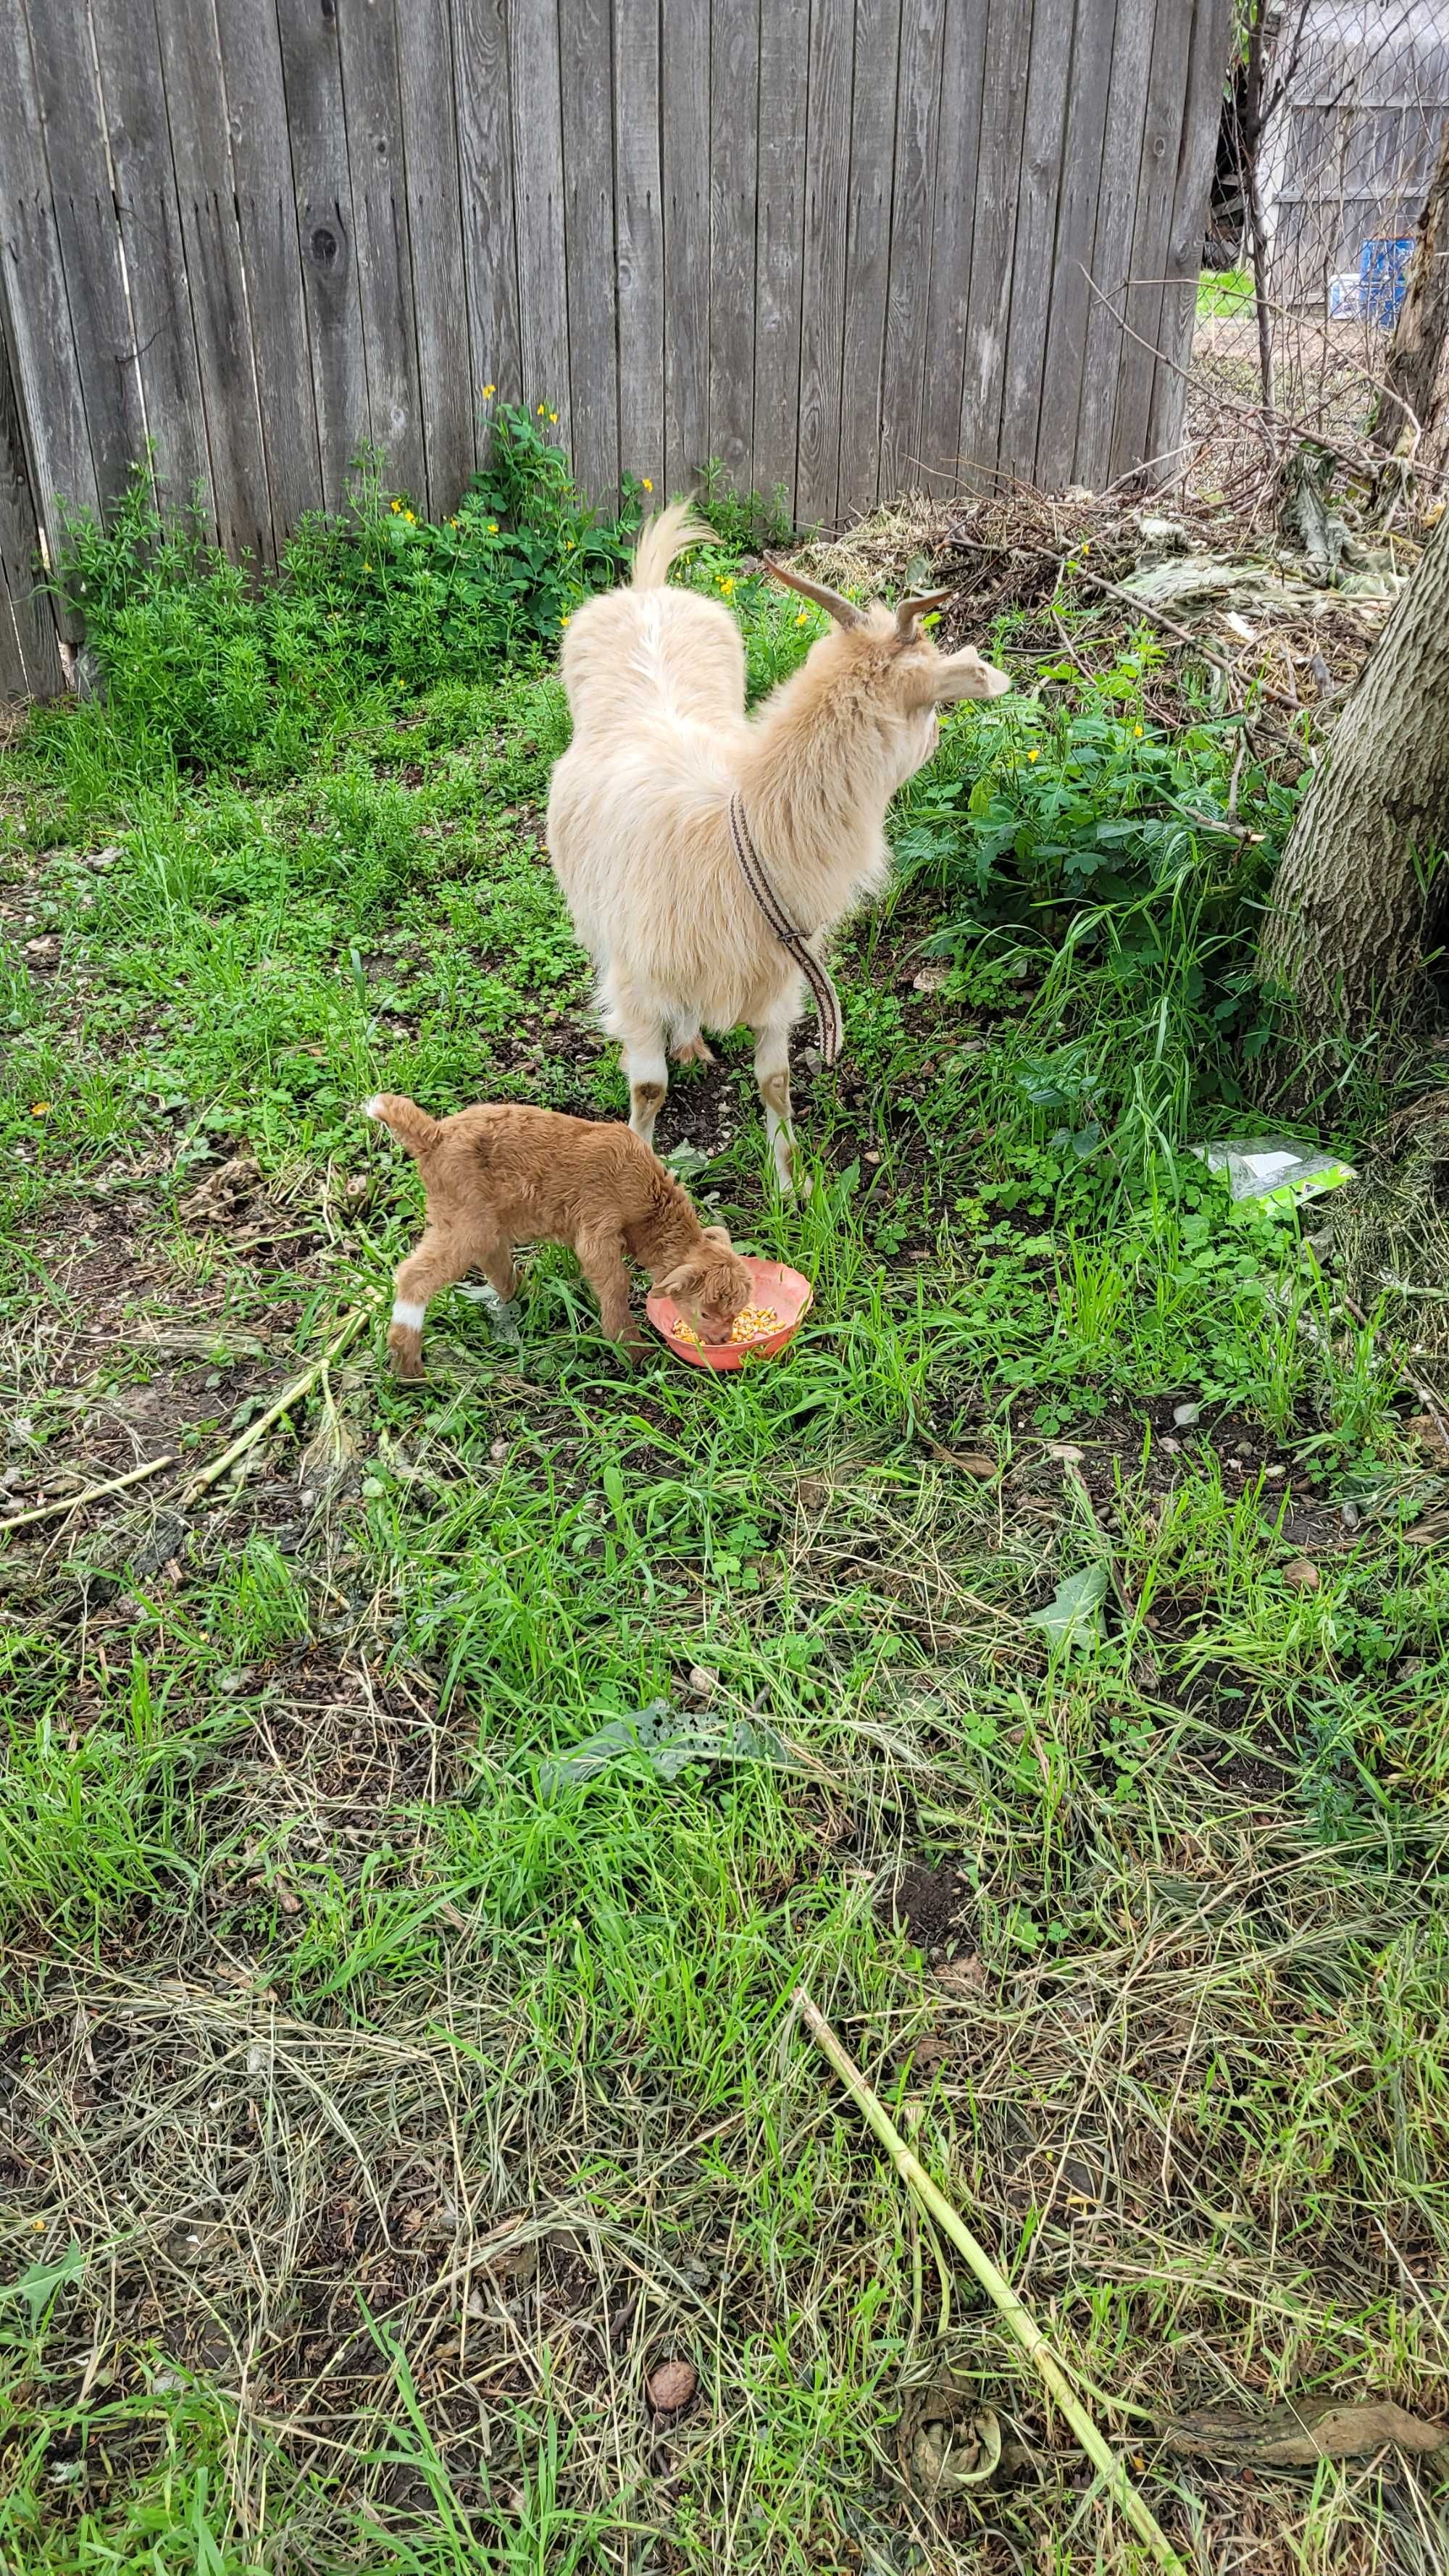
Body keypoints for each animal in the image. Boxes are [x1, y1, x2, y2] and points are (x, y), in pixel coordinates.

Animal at [541, 507, 1005, 1189]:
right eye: (932, 709)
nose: (938, 738)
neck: (738, 835)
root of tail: (648, 591)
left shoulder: (782, 975)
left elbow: (776, 1081)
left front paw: (791, 1185)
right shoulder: (638, 980)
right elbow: (649, 1089)